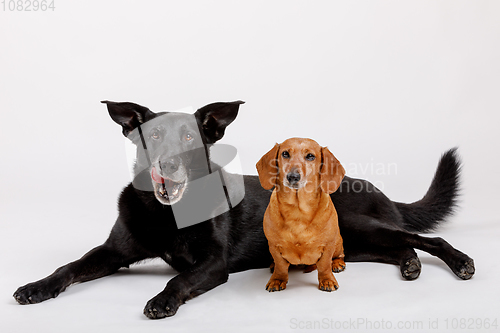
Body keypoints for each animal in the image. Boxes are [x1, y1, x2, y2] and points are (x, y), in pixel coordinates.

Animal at [10, 100, 472, 318]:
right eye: (153, 136)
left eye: (190, 138)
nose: (168, 164)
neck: (169, 212)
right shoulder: (113, 253)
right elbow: (69, 266)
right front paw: (37, 287)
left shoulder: (213, 264)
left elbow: (179, 280)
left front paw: (162, 300)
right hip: (355, 243)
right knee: (399, 247)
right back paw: (409, 265)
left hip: (357, 223)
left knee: (425, 237)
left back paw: (459, 261)